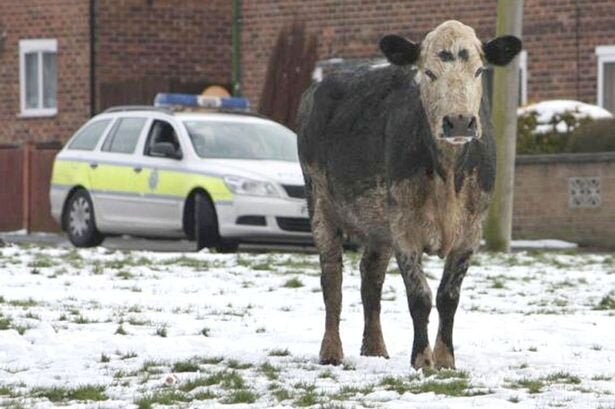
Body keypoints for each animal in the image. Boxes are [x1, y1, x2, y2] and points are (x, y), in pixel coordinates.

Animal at [296, 20, 524, 368]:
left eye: (478, 71)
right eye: (428, 72)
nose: (459, 122)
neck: (447, 175)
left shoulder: (471, 232)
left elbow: (448, 296)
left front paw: (445, 360)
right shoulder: (405, 228)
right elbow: (420, 296)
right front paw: (422, 360)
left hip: (378, 224)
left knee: (371, 278)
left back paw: (375, 348)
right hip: (320, 203)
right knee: (332, 278)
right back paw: (331, 351)